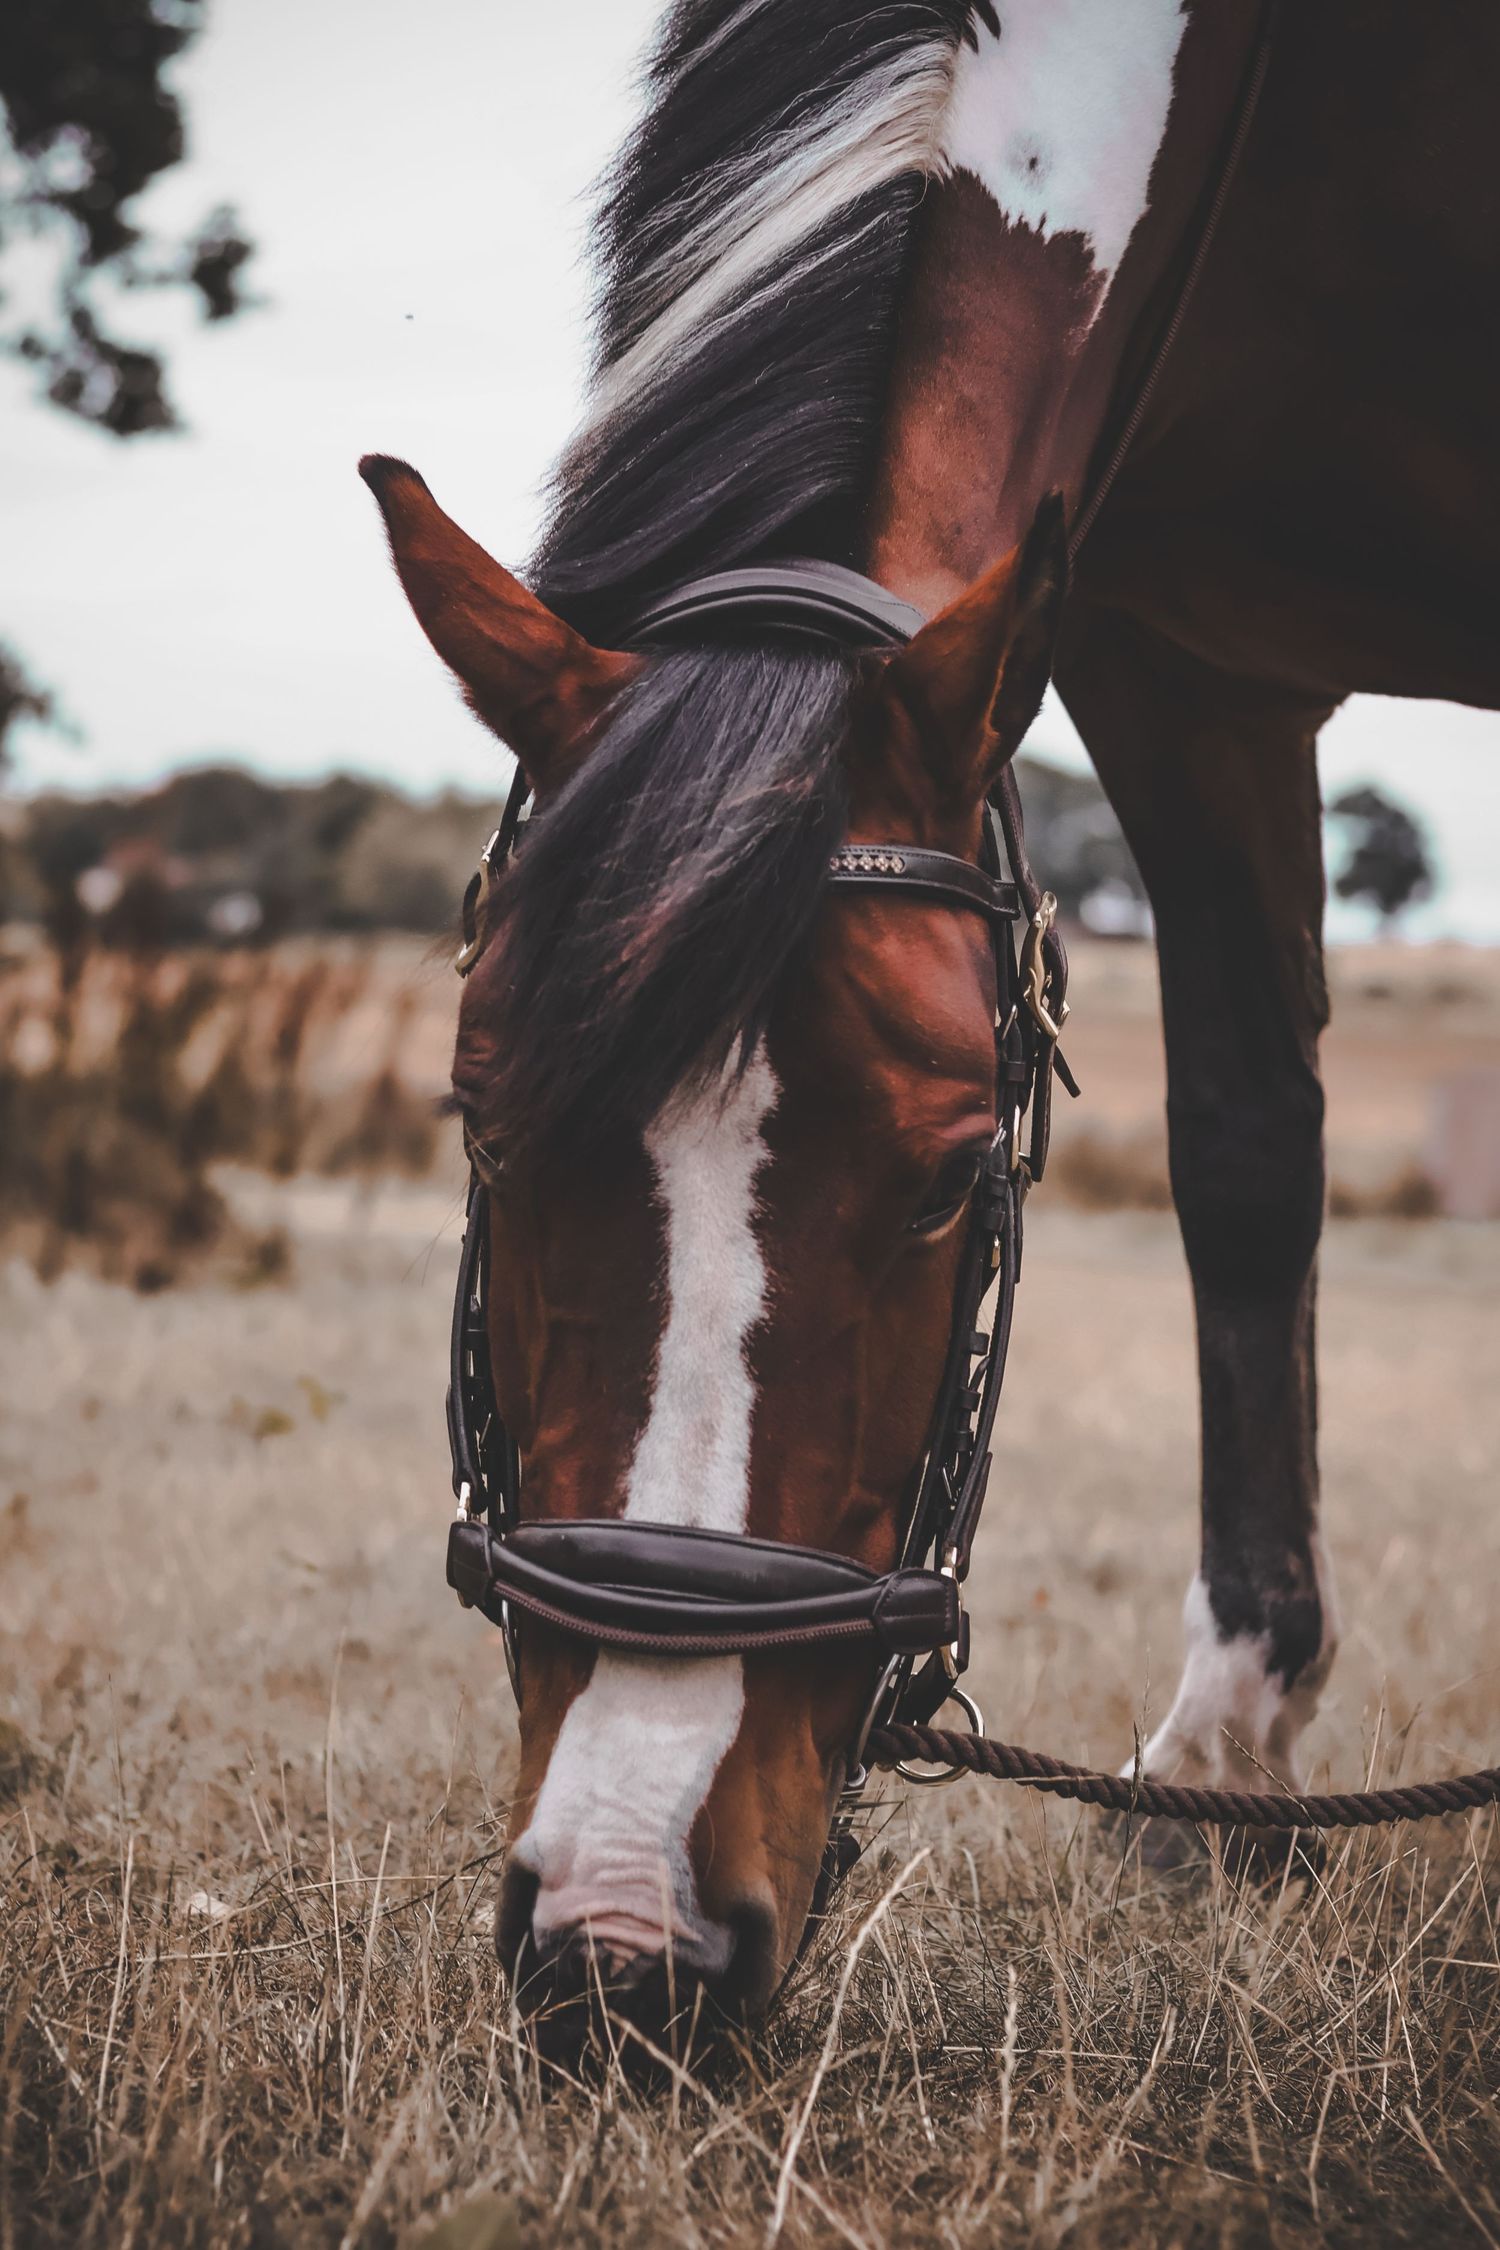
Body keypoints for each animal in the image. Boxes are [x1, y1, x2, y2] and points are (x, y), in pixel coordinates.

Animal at [360, 0, 1500, 2058]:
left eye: (953, 1173)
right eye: (484, 1122)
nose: (626, 1941)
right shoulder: (1178, 666)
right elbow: (1244, 1149)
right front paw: (1227, 1772)